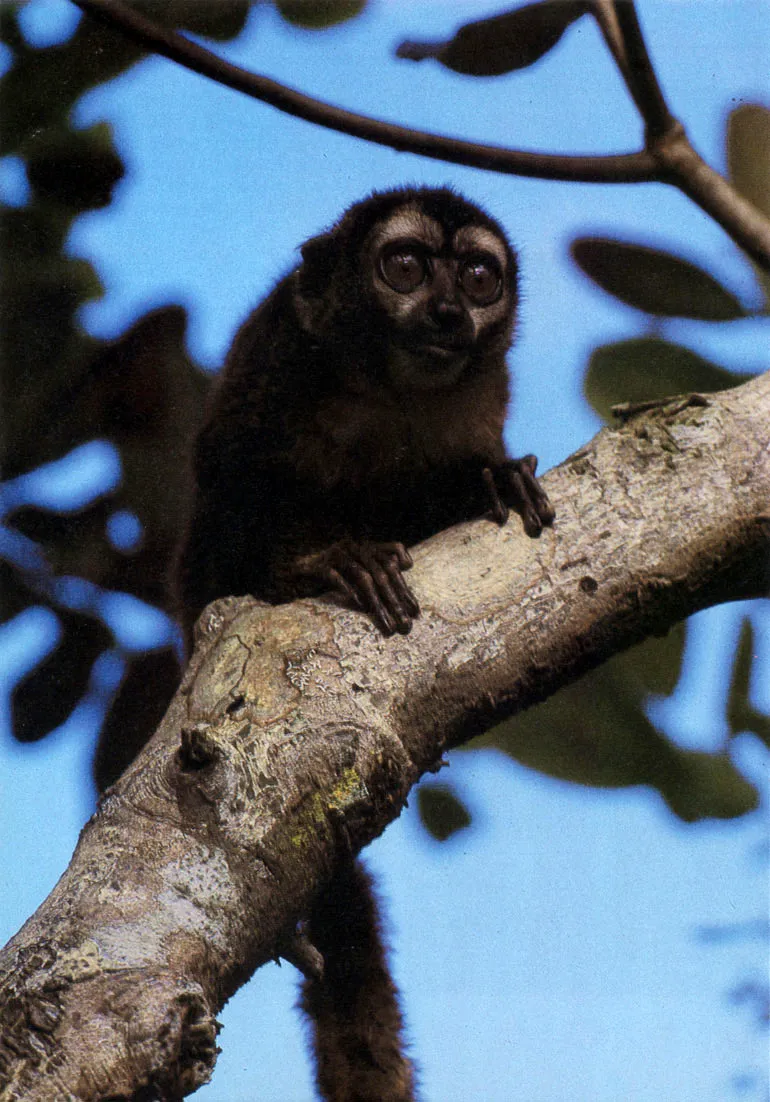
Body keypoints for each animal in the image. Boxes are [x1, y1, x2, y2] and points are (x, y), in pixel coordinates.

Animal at [175, 185, 555, 1097]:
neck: (392, 392)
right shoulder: (275, 362)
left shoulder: (485, 394)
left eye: (479, 277)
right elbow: (235, 493)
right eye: (406, 266)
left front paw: (491, 481)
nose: (450, 312)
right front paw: (326, 562)